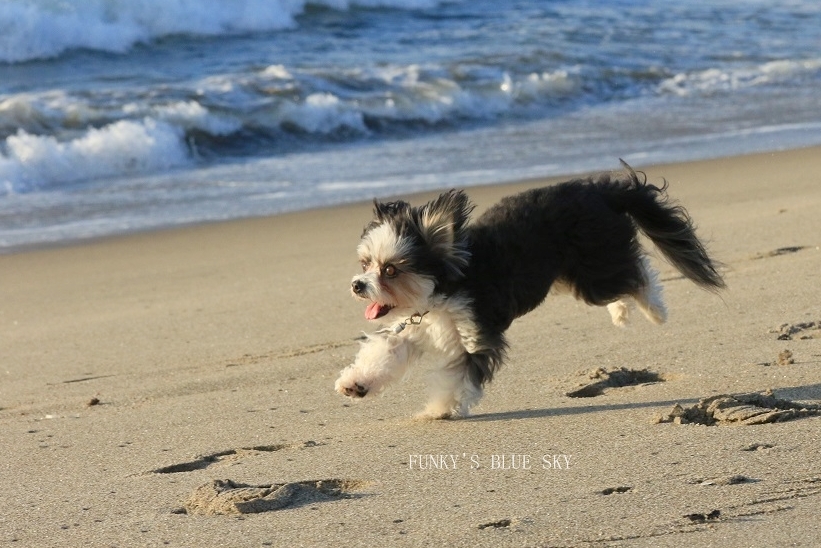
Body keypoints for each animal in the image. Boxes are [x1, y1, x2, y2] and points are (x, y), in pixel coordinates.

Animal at [334, 163, 724, 420]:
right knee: (625, 278)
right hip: (572, 274)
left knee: (638, 273)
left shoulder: (476, 337)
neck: (443, 289)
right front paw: (356, 383)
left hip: (593, 270)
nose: (357, 284)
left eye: (390, 270)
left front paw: (440, 409)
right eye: (365, 263)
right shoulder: (415, 328)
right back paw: (622, 311)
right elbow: (384, 351)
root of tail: (601, 191)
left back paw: (655, 309)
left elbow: (458, 377)